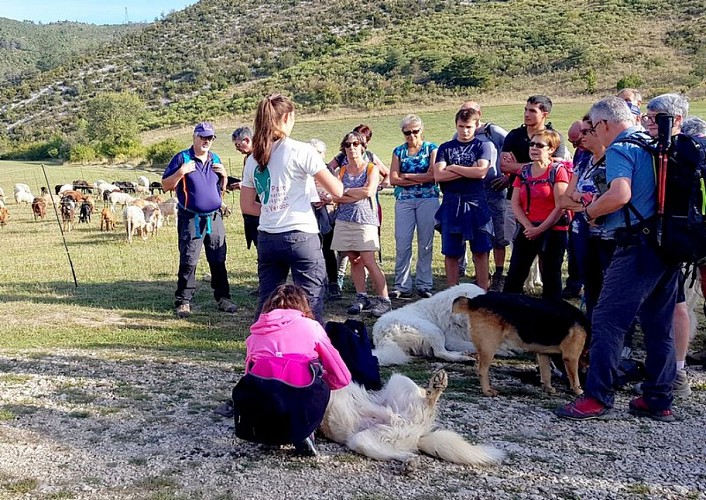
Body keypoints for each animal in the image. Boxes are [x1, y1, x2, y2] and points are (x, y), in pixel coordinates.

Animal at [320, 370, 500, 466]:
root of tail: (419, 434)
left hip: (398, 379)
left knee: (425, 399)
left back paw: (436, 385)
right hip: (360, 440)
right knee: (399, 452)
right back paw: (409, 462)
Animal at [372, 284, 516, 366]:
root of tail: (382, 336)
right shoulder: (453, 341)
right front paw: (505, 350)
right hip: (434, 330)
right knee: (439, 352)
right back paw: (464, 358)